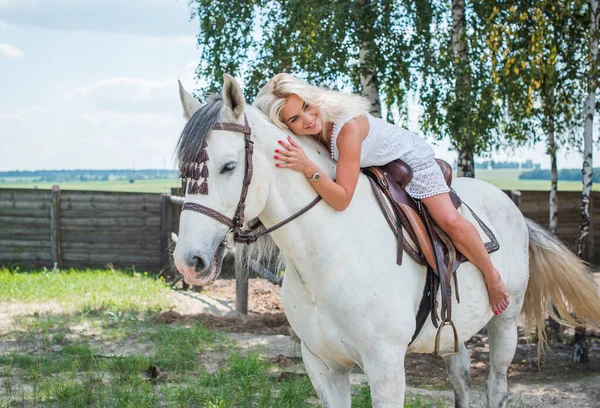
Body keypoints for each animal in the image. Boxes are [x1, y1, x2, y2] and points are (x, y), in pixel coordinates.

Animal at [172, 75, 600, 406]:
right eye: (184, 170)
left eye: (229, 166)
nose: (189, 261)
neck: (330, 255)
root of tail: (511, 208)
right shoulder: (322, 368)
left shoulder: (386, 369)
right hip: (455, 331)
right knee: (461, 380)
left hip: (505, 327)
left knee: (496, 386)